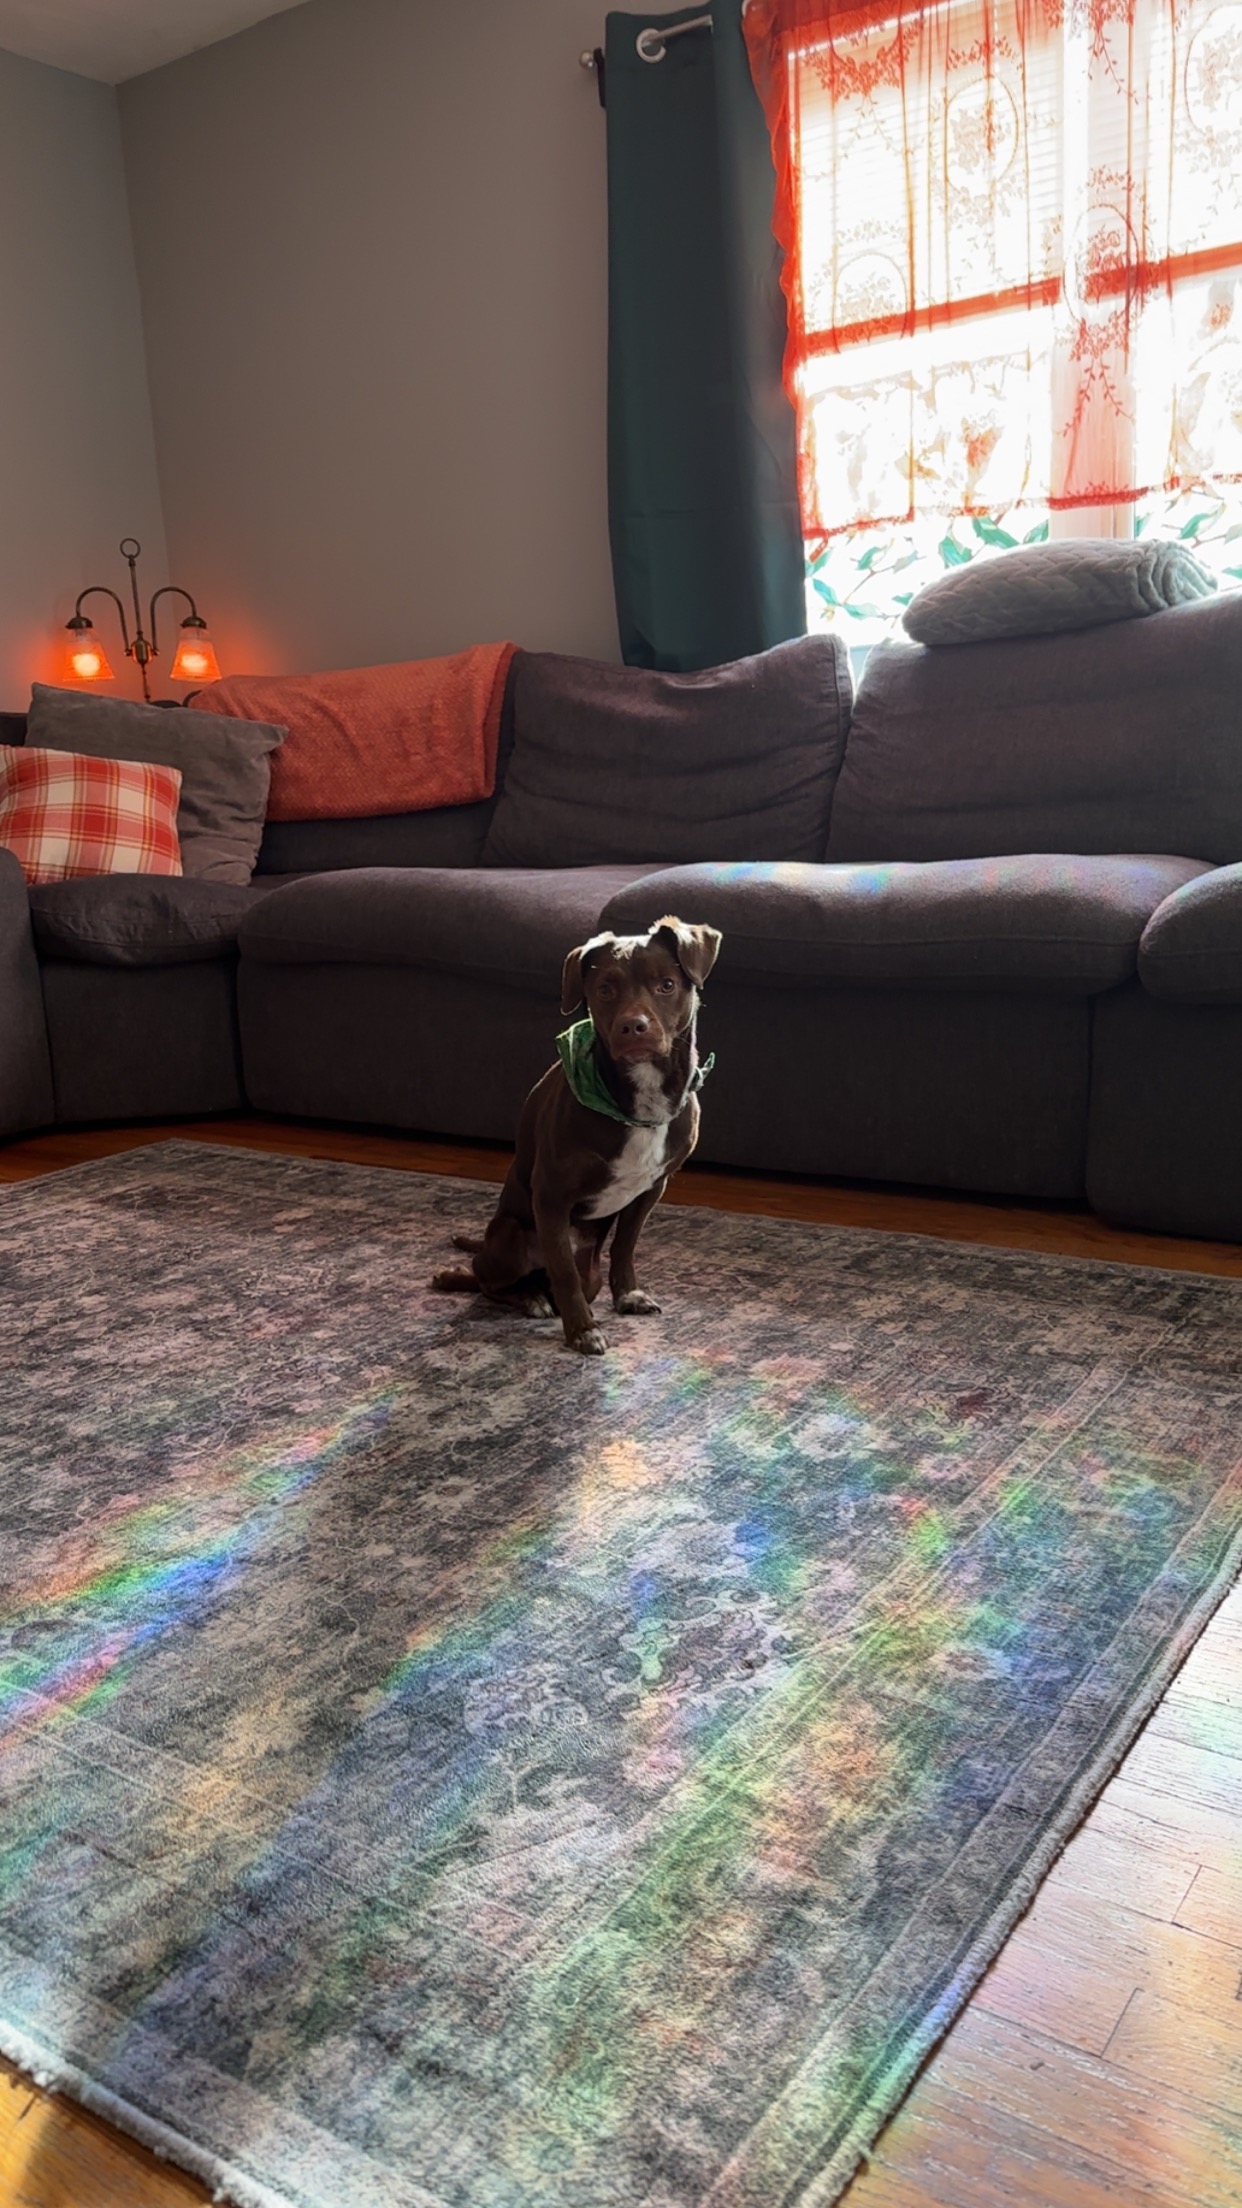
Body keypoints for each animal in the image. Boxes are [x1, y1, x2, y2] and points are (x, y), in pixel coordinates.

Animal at [430, 914, 721, 1353]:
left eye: (667, 984)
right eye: (605, 990)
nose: (633, 1027)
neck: (638, 1100)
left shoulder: (651, 1189)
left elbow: (624, 1246)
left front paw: (628, 1296)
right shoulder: (551, 1196)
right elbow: (564, 1272)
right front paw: (583, 1331)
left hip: (590, 1272)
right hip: (511, 1237)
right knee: (487, 1279)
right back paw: (514, 1294)